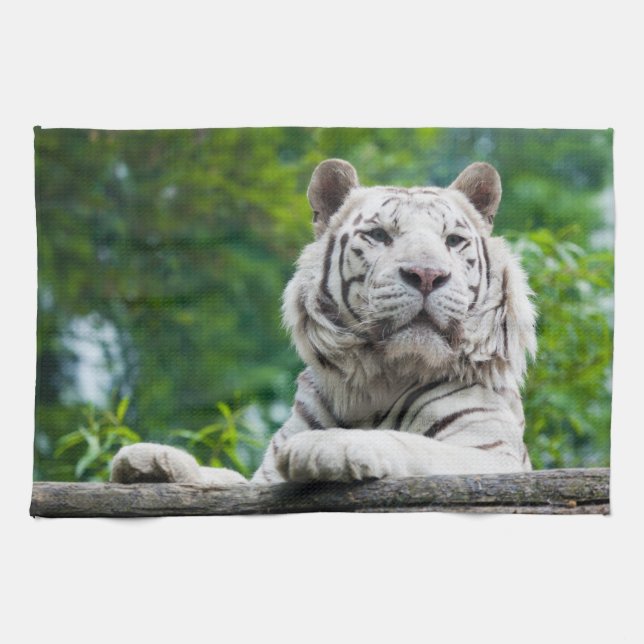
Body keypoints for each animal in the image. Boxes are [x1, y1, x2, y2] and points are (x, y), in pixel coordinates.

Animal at [110, 158, 537, 486]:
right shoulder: (263, 478)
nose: (427, 275)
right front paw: (150, 461)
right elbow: (227, 477)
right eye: (379, 235)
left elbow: (412, 444)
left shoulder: (491, 455)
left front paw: (328, 446)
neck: (381, 379)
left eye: (453, 241)